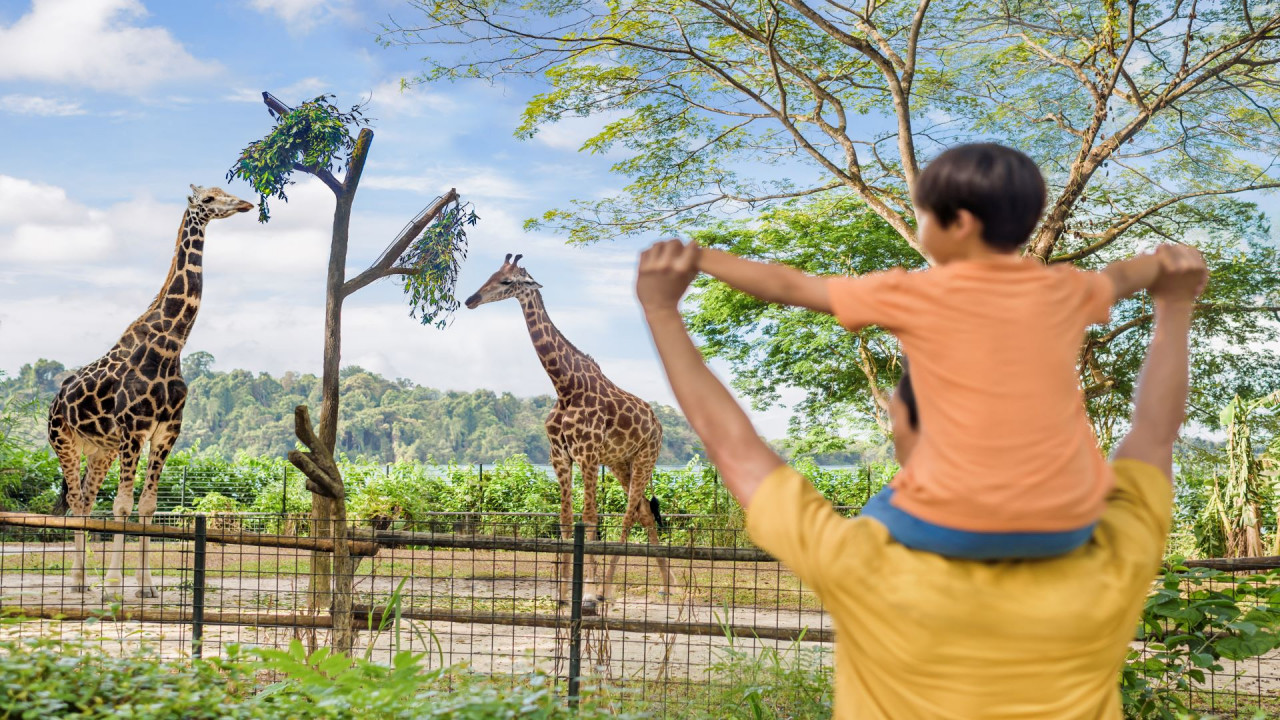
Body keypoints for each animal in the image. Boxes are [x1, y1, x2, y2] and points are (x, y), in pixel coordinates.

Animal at [48, 183, 252, 594]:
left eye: (225, 190)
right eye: (208, 199)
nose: (244, 204)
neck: (171, 346)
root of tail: (54, 403)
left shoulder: (166, 432)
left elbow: (147, 506)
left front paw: (146, 585)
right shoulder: (134, 429)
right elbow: (122, 505)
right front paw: (115, 583)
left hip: (100, 451)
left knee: (87, 500)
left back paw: (83, 579)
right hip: (64, 442)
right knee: (76, 499)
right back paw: (77, 582)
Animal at [465, 254, 675, 607]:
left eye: (507, 281)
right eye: (491, 274)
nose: (470, 300)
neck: (565, 386)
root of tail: (658, 424)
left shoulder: (587, 455)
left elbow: (589, 518)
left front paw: (588, 591)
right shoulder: (560, 457)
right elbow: (565, 520)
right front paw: (563, 594)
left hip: (646, 458)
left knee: (629, 515)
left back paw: (608, 591)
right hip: (620, 463)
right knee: (645, 511)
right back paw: (667, 586)